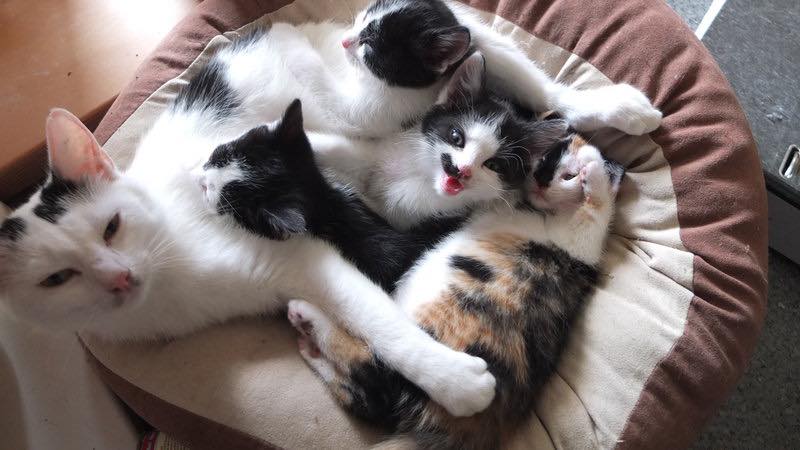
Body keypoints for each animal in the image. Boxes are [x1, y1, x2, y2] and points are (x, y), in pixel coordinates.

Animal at [285, 133, 623, 449]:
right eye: (543, 162)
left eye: (568, 176)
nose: (541, 181)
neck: (536, 211)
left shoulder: (580, 249)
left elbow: (594, 215)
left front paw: (595, 171)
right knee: (367, 392)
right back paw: (306, 332)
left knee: (375, 376)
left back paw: (307, 323)